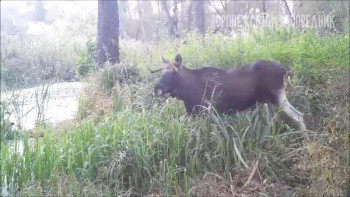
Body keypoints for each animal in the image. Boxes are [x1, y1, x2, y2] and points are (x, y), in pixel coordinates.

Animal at [153, 53, 306, 131]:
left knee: (298, 115)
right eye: (162, 71)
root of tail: (284, 70)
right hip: (267, 101)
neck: (186, 93)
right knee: (274, 120)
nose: (157, 89)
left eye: (174, 71)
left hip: (277, 96)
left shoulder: (208, 113)